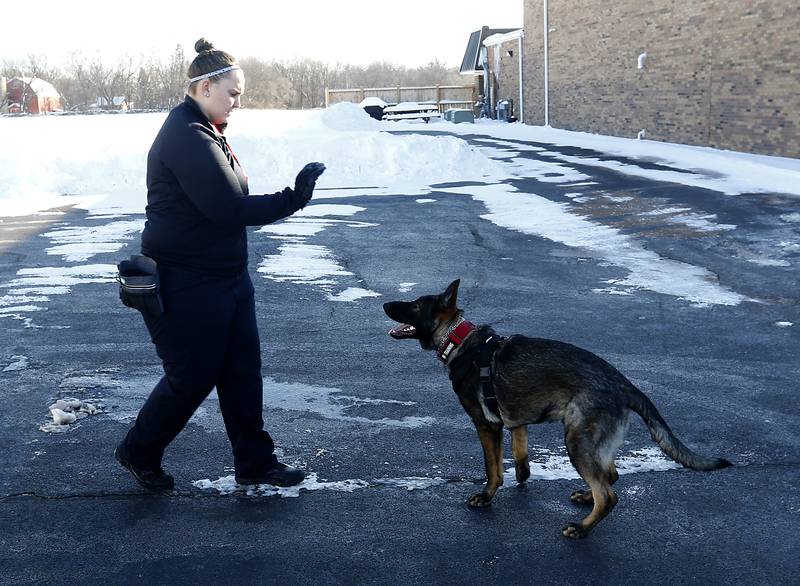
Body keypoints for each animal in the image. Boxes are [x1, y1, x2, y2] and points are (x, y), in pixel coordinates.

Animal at [384, 278, 736, 540]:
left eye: (415, 305)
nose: (385, 305)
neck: (459, 341)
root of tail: (623, 384)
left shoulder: (486, 425)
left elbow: (493, 468)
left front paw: (487, 496)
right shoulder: (515, 420)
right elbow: (520, 451)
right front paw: (523, 475)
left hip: (576, 441)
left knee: (608, 493)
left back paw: (582, 528)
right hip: (591, 443)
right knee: (610, 475)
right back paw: (586, 497)